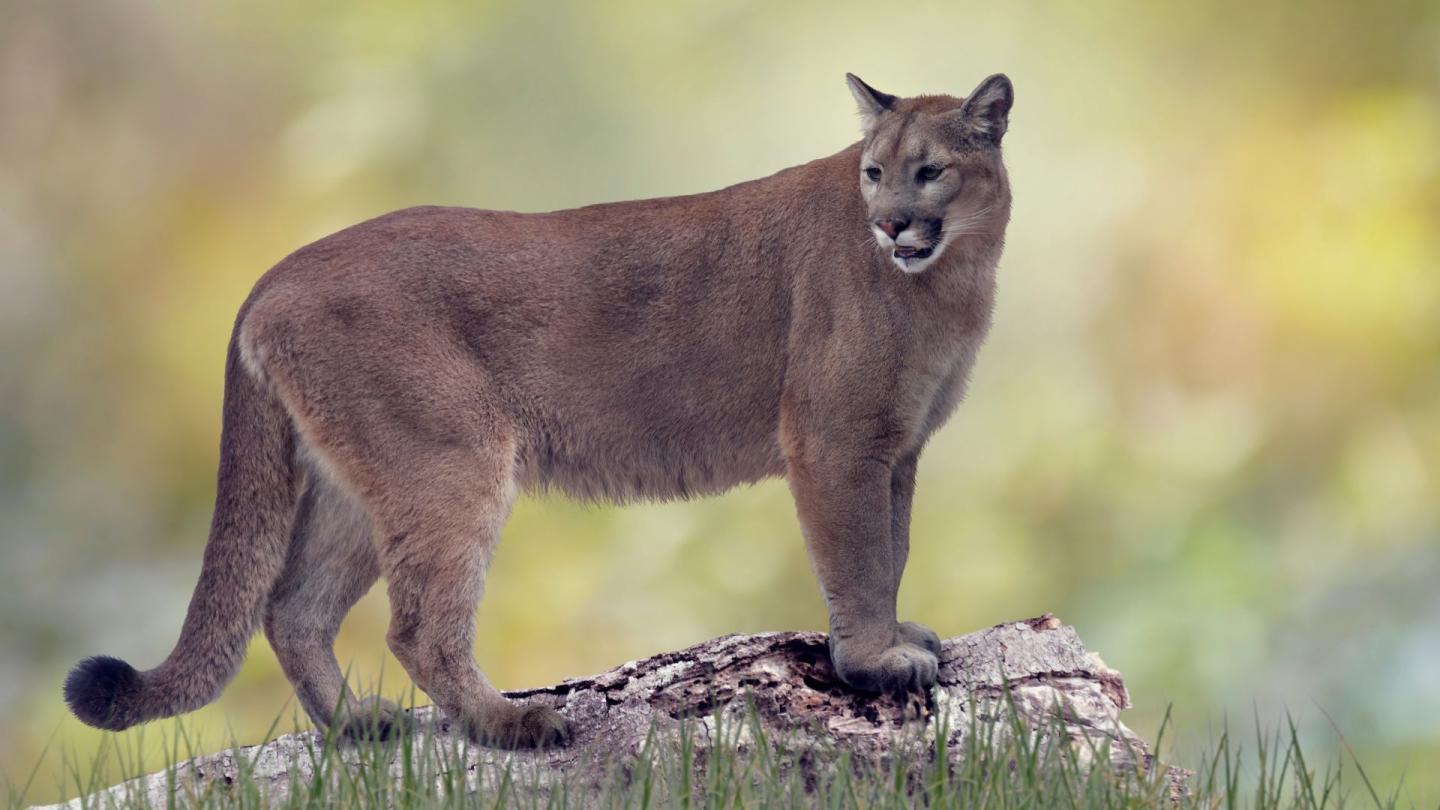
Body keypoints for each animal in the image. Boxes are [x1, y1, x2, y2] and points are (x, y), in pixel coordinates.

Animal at [64, 72, 1013, 749]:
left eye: (930, 171)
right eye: (873, 174)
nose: (891, 224)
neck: (951, 282)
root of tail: (275, 273)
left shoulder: (896, 449)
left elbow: (892, 550)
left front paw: (894, 641)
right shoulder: (836, 442)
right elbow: (859, 557)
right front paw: (875, 661)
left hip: (354, 487)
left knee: (292, 608)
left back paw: (356, 727)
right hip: (451, 462)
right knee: (417, 627)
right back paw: (510, 724)